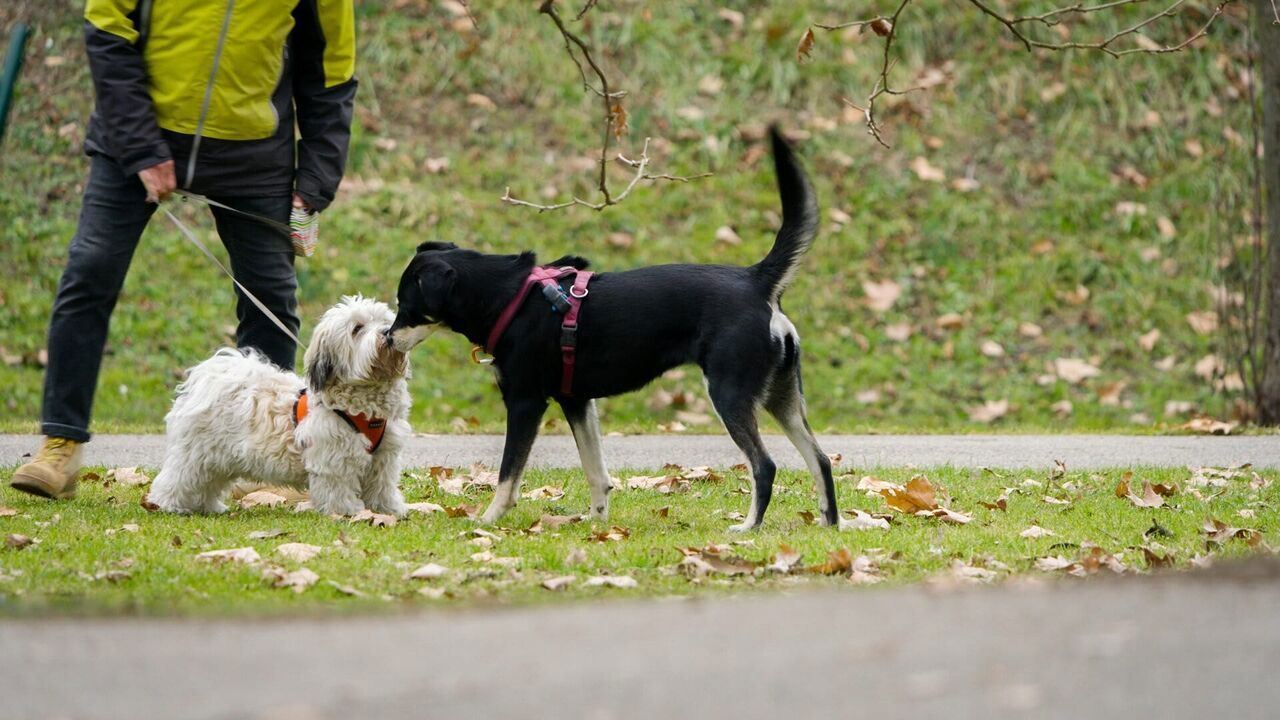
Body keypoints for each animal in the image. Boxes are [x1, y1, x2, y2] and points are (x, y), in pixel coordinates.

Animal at [149, 294, 409, 512]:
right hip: (195, 454)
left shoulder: (384, 456)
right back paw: (164, 504)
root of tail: (208, 380)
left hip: (216, 459)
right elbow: (338, 489)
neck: (366, 407)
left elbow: (382, 486)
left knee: (208, 484)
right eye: (357, 328)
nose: (387, 333)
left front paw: (388, 509)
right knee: (177, 479)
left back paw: (207, 507)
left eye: (386, 321)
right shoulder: (334, 458)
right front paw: (346, 512)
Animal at [384, 127, 834, 527]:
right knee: (821, 459)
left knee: (766, 465)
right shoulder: (577, 402)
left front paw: (490, 519)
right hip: (782, 397)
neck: (508, 297)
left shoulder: (526, 402)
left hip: (730, 393)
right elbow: (596, 471)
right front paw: (597, 523)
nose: (387, 338)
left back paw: (749, 527)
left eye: (406, 306)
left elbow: (508, 474)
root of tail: (757, 281)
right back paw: (830, 524)